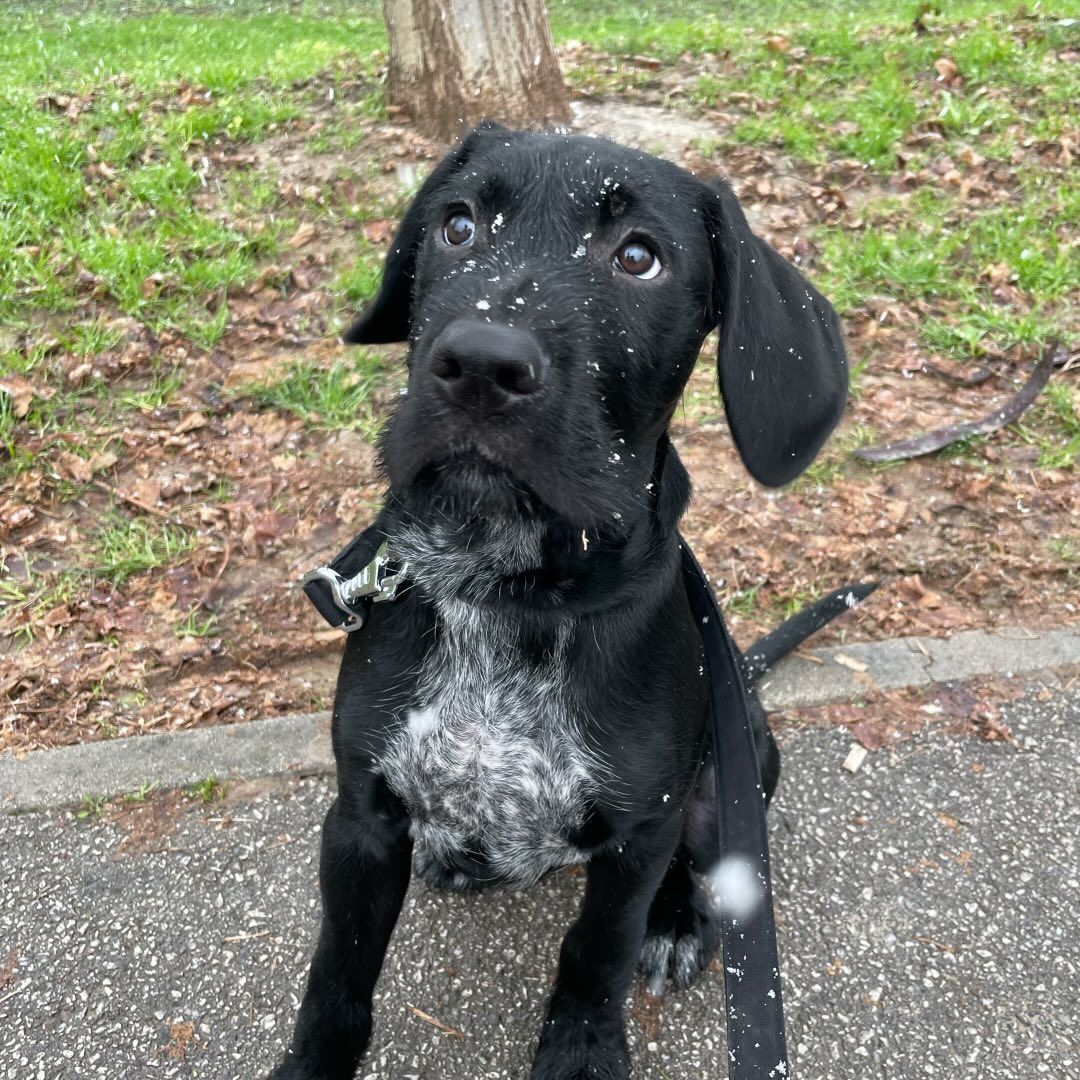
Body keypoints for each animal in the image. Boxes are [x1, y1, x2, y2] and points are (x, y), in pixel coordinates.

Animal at [270, 126, 851, 1080]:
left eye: (640, 257)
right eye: (457, 224)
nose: (478, 364)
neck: (509, 587)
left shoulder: (637, 836)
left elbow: (595, 951)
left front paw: (582, 1051)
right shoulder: (360, 818)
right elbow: (337, 973)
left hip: (729, 781)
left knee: (700, 875)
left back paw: (677, 925)